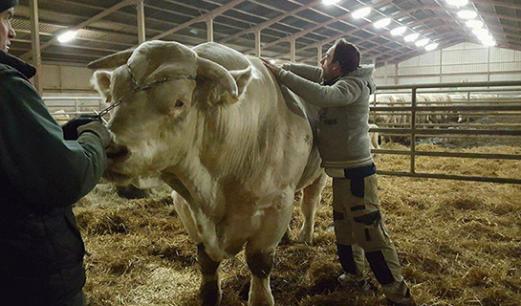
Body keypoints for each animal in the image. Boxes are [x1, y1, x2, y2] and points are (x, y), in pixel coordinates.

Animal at [89, 41, 324, 306]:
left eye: (179, 102)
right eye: (112, 97)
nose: (112, 149)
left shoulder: (276, 204)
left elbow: (259, 262)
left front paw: (261, 298)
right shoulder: (184, 204)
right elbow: (206, 259)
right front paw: (209, 294)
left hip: (320, 174)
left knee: (309, 203)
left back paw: (306, 235)